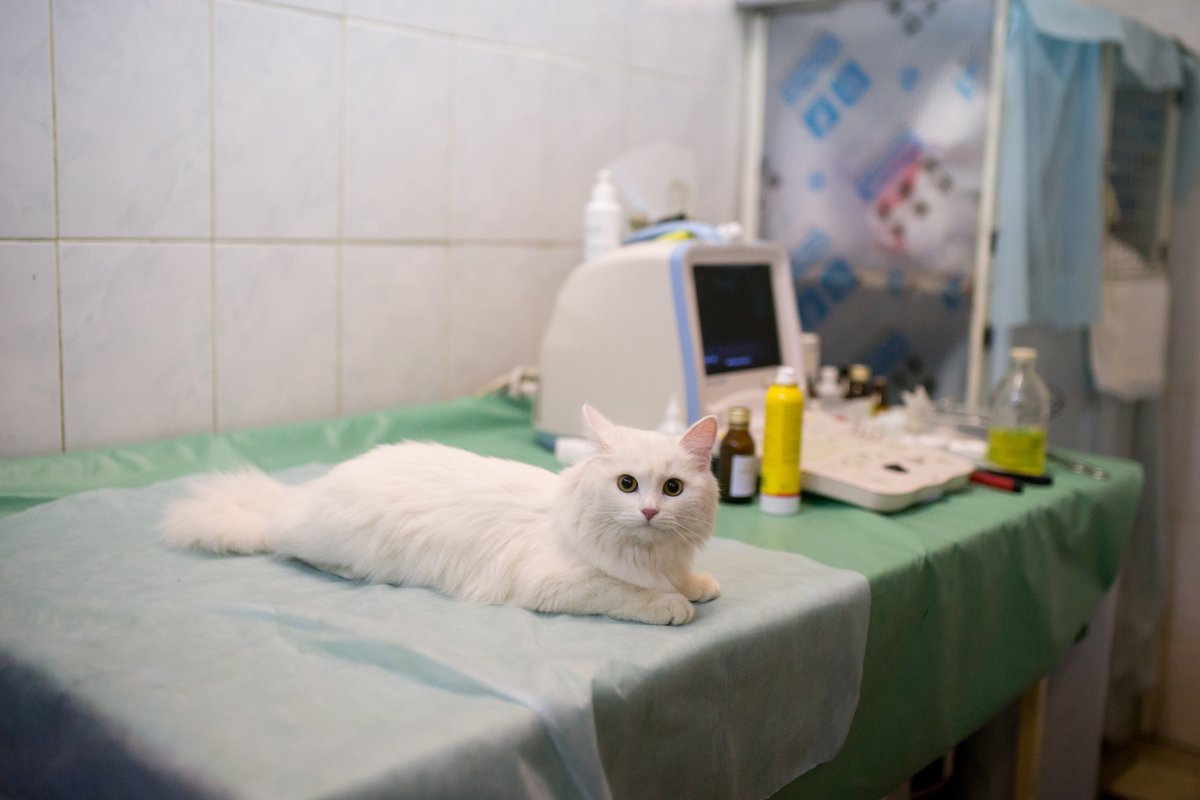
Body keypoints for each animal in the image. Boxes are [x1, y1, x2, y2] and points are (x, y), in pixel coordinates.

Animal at [160, 405, 721, 625]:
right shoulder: (551, 582)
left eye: (673, 488)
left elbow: (679, 577)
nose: (648, 511)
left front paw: (695, 585)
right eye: (626, 484)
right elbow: (622, 590)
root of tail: (295, 498)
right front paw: (670, 604)